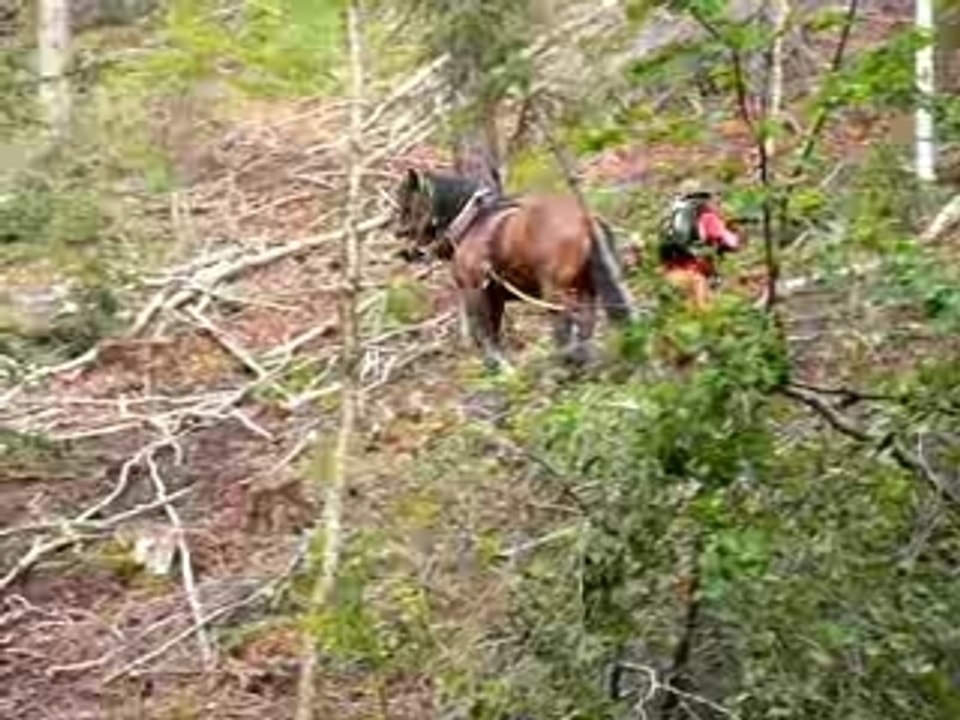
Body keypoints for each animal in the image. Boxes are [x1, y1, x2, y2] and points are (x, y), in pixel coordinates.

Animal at [393, 168, 638, 373]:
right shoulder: (495, 296)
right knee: (585, 326)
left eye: (407, 205)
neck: (472, 222)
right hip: (587, 287)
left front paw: (497, 366)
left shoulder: (475, 290)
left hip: (556, 291)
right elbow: (493, 331)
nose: (399, 237)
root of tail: (586, 221)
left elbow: (485, 333)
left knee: (566, 324)